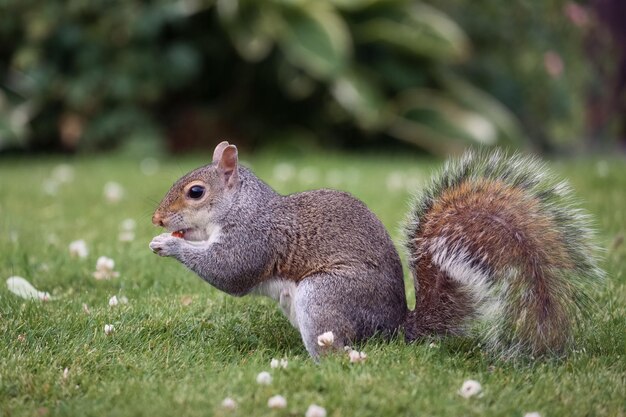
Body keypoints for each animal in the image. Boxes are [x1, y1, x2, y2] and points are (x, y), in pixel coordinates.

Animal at [149, 141, 604, 358]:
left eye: (195, 192)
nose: (156, 219)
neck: (242, 205)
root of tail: (393, 327)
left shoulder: (254, 238)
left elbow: (229, 272)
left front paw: (167, 245)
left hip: (326, 296)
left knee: (335, 348)